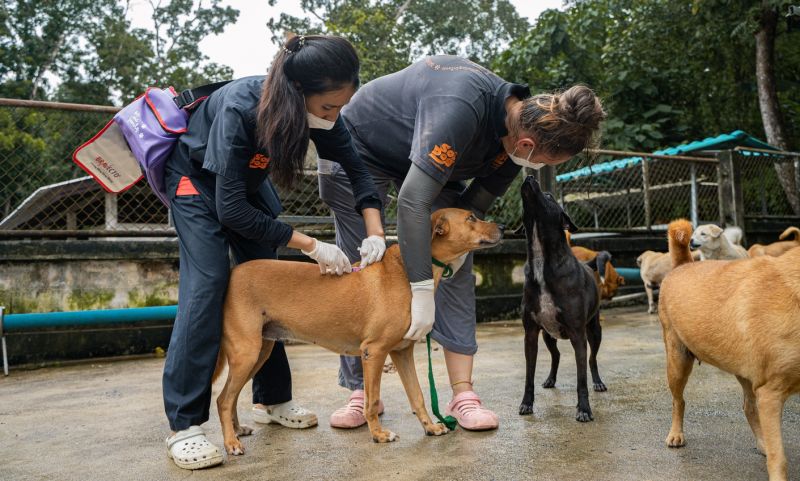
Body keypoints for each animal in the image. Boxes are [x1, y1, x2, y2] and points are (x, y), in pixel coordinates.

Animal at [212, 207, 500, 454]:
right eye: (471, 217)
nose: (503, 227)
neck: (409, 272)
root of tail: (232, 273)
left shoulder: (402, 352)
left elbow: (417, 396)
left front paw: (429, 427)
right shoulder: (373, 352)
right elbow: (371, 401)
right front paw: (379, 434)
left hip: (260, 351)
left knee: (230, 397)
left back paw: (237, 431)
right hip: (247, 353)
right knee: (223, 400)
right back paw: (231, 443)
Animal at [516, 175, 604, 420]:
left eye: (549, 196)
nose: (530, 176)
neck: (541, 262)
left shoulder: (577, 334)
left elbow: (581, 379)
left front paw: (584, 409)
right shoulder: (530, 334)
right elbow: (529, 375)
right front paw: (526, 403)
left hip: (594, 331)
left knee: (592, 359)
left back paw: (598, 382)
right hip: (548, 335)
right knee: (555, 356)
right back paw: (550, 379)